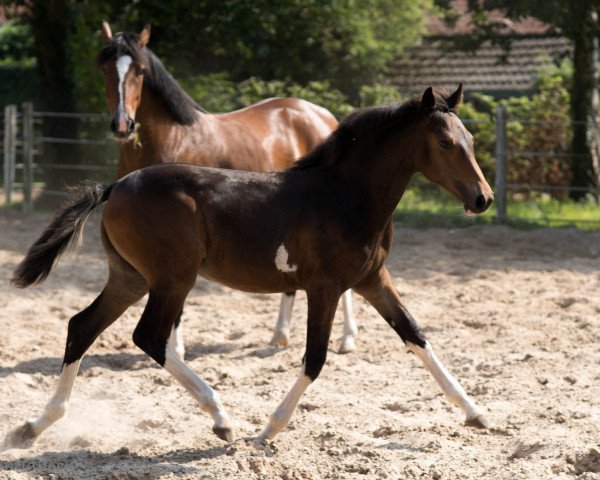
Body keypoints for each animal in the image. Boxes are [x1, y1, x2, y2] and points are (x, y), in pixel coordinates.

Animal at [3, 84, 492, 448]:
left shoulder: (372, 280)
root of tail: (116, 185)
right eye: (445, 142)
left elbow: (416, 335)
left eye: (470, 140)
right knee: (149, 337)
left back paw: (35, 426)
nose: (482, 198)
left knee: (82, 327)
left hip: (132, 277)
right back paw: (221, 418)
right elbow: (315, 359)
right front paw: (268, 429)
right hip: (172, 278)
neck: (344, 197)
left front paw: (477, 412)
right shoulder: (326, 287)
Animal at [99, 21, 356, 352]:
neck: (173, 138)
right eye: (105, 68)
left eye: (140, 71)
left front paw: (174, 348)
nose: (122, 125)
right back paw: (279, 335)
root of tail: (321, 115)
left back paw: (347, 337)